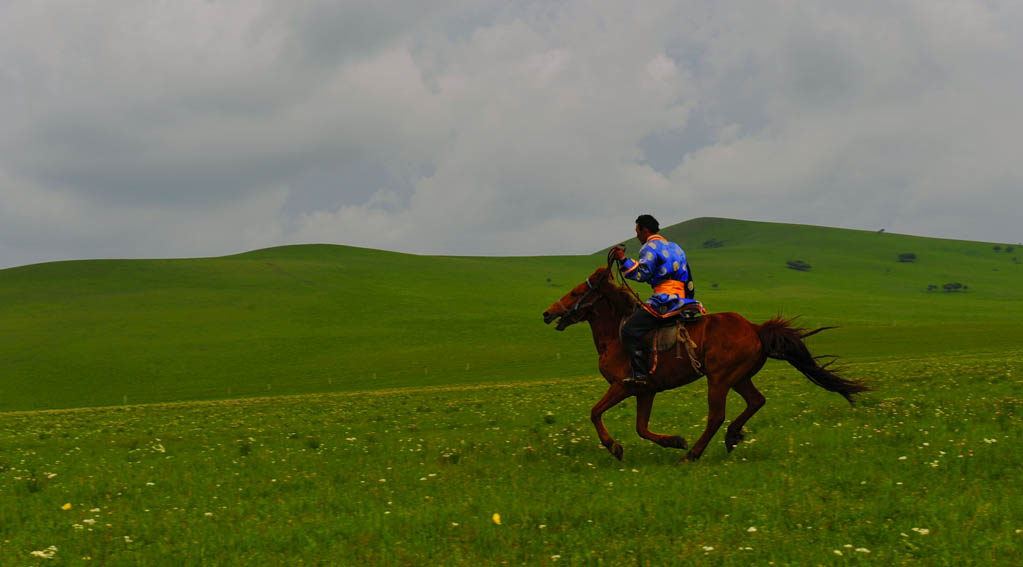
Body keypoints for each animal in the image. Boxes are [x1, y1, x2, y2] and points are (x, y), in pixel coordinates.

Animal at [540, 264, 867, 458]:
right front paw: (673, 440)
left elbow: (595, 413)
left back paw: (694, 454)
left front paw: (615, 447)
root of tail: (756, 328)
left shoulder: (624, 386)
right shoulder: (646, 391)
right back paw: (730, 437)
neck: (616, 335)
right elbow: (641, 428)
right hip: (739, 377)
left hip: (719, 380)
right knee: (756, 401)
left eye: (576, 292)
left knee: (716, 416)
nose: (547, 313)